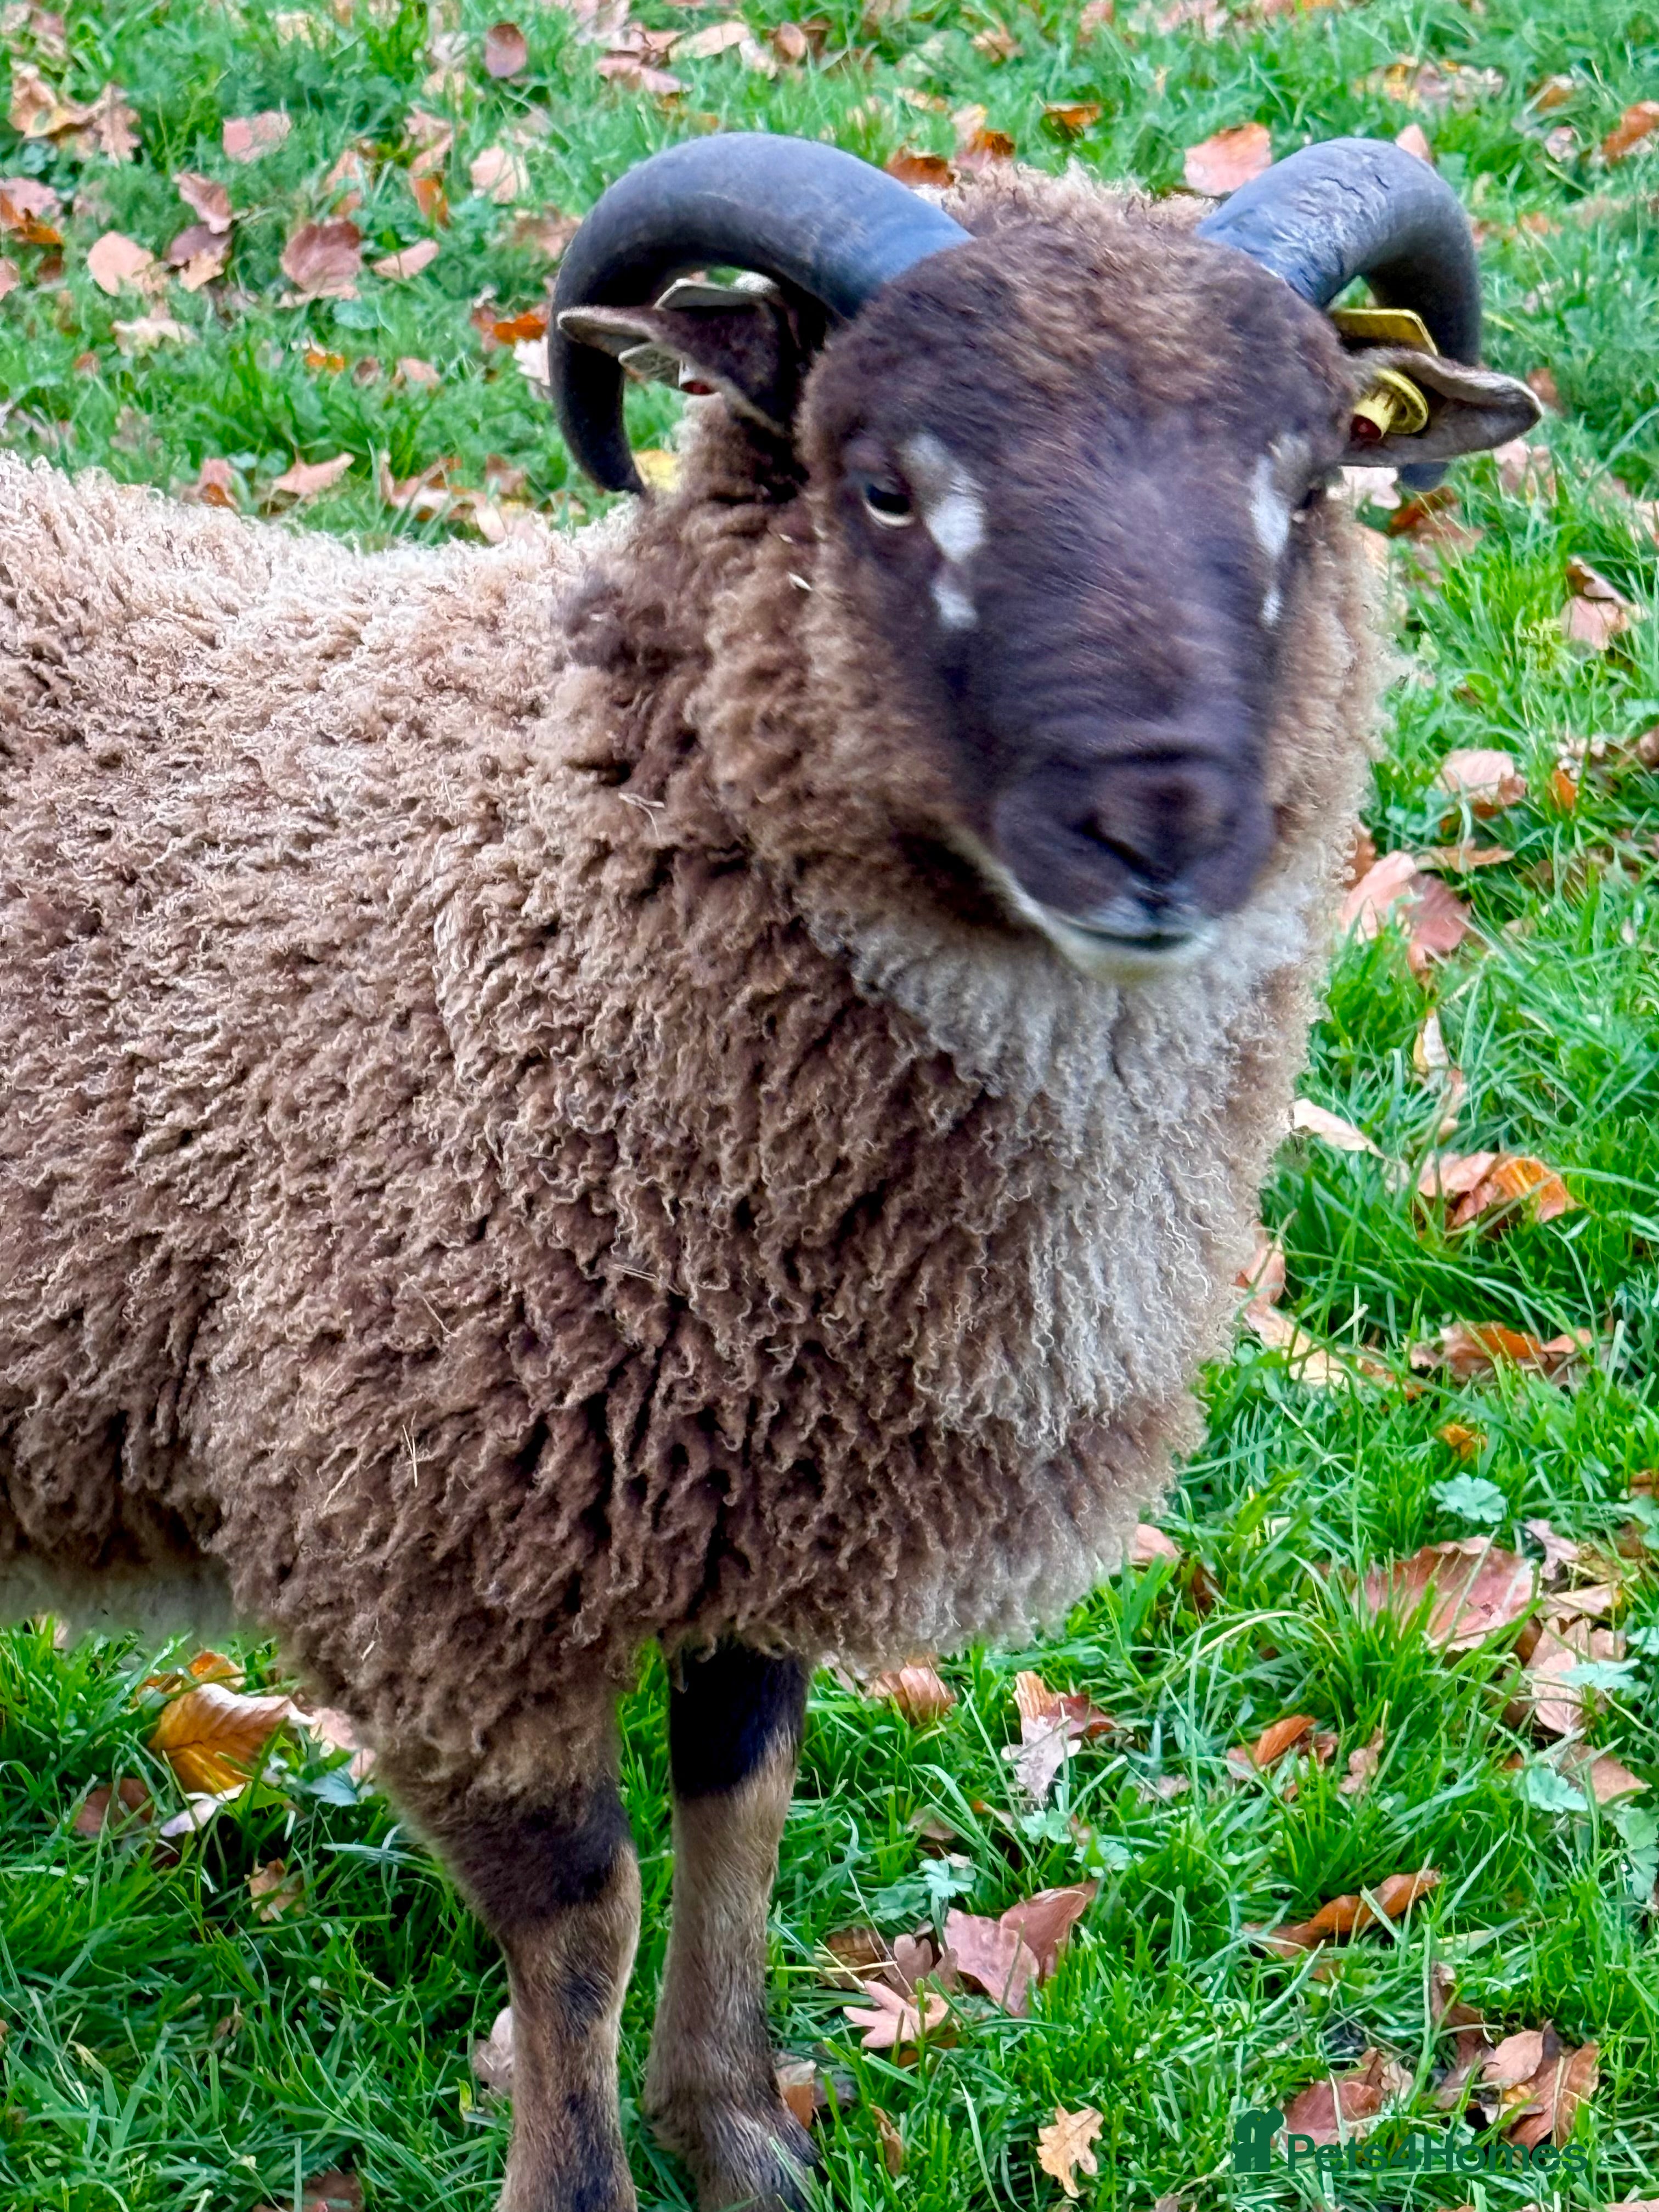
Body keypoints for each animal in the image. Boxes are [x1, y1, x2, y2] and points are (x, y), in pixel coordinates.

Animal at [0, 133, 1535, 2212]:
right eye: (882, 483)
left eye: (1308, 486)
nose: (1157, 826)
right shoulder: (424, 1542)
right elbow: (584, 1909)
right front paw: (581, 2181)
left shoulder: (755, 1489)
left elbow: (741, 1801)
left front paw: (730, 2131)